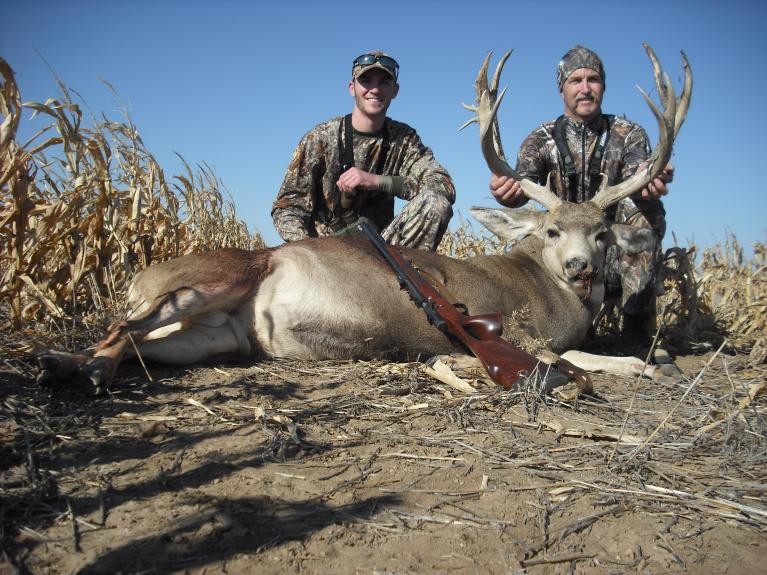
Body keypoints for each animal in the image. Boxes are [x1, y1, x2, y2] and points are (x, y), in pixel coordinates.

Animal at [37, 45, 691, 395]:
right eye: (551, 230)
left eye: (602, 233)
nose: (581, 267)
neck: (550, 293)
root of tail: (136, 278)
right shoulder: (525, 334)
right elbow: (593, 363)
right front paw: (643, 364)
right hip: (218, 279)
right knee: (123, 328)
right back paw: (78, 368)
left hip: (214, 336)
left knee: (141, 342)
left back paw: (71, 365)